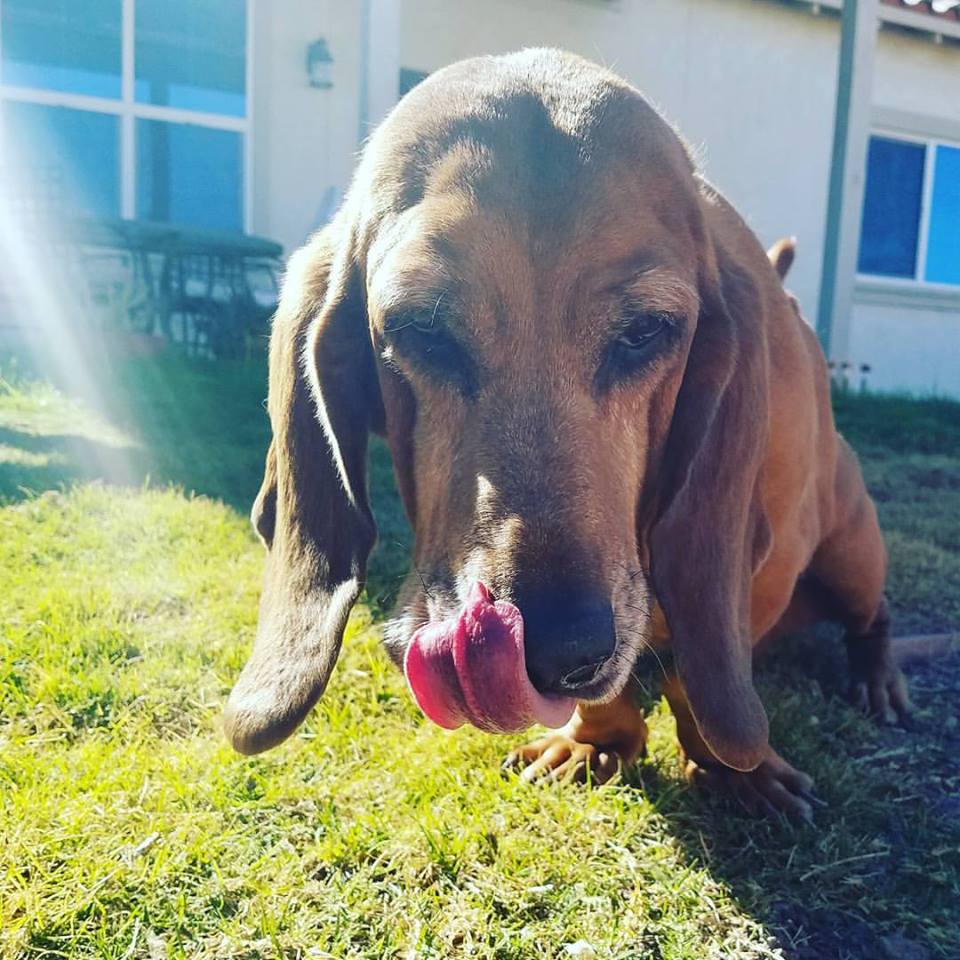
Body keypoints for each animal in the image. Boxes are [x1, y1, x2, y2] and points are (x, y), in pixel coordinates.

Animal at [225, 50, 908, 816]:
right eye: (422, 329)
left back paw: (878, 677)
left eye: (645, 332)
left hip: (853, 553)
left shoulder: (757, 573)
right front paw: (594, 741)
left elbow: (695, 677)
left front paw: (736, 769)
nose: (557, 651)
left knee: (871, 618)